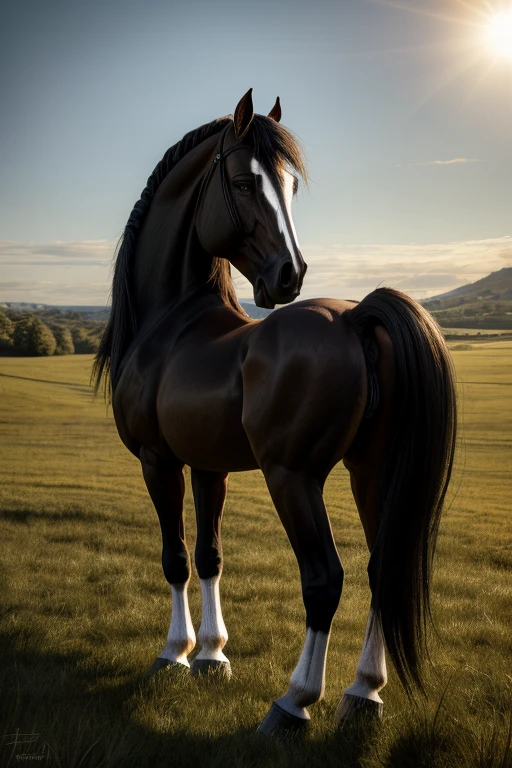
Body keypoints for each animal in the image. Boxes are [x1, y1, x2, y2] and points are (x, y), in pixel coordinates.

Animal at [93, 89, 457, 736]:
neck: (173, 324)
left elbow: (175, 558)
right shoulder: (207, 466)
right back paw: (363, 692)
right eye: (243, 181)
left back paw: (295, 702)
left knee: (325, 579)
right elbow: (209, 556)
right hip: (371, 473)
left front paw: (174, 653)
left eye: (288, 185)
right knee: (380, 569)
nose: (290, 274)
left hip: (294, 479)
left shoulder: (158, 462)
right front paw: (212, 655)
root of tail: (356, 317)